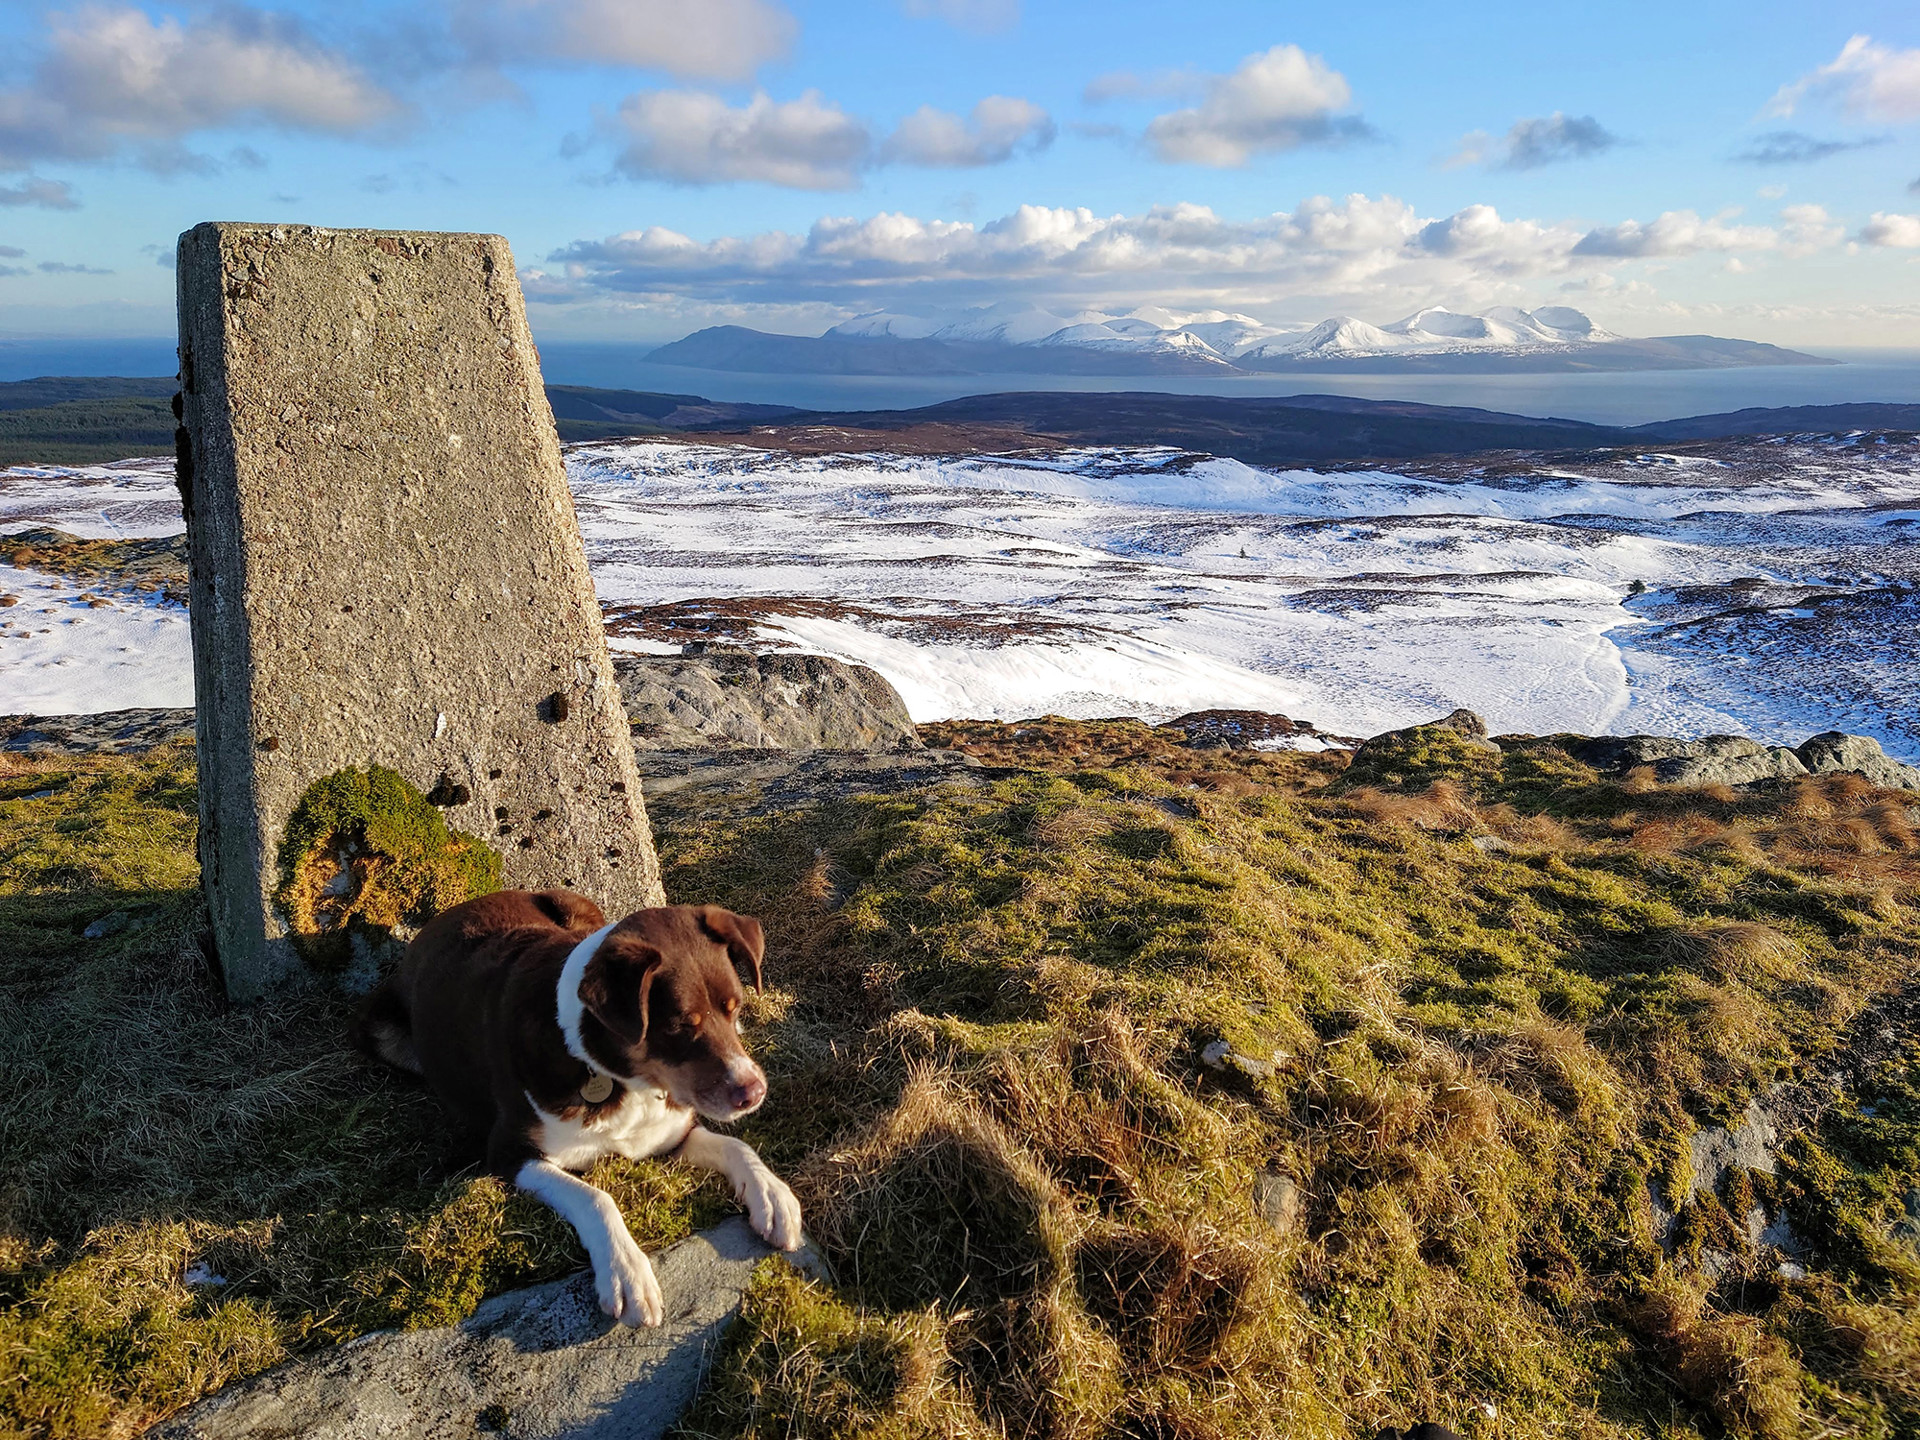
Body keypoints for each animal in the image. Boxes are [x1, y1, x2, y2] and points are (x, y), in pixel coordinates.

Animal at [357, 890, 798, 1328]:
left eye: (734, 1007)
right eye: (678, 1026)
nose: (754, 1092)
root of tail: (450, 912)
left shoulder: (671, 1133)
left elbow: (737, 1147)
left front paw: (773, 1196)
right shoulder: (510, 1153)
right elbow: (594, 1197)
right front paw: (626, 1272)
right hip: (379, 1030)